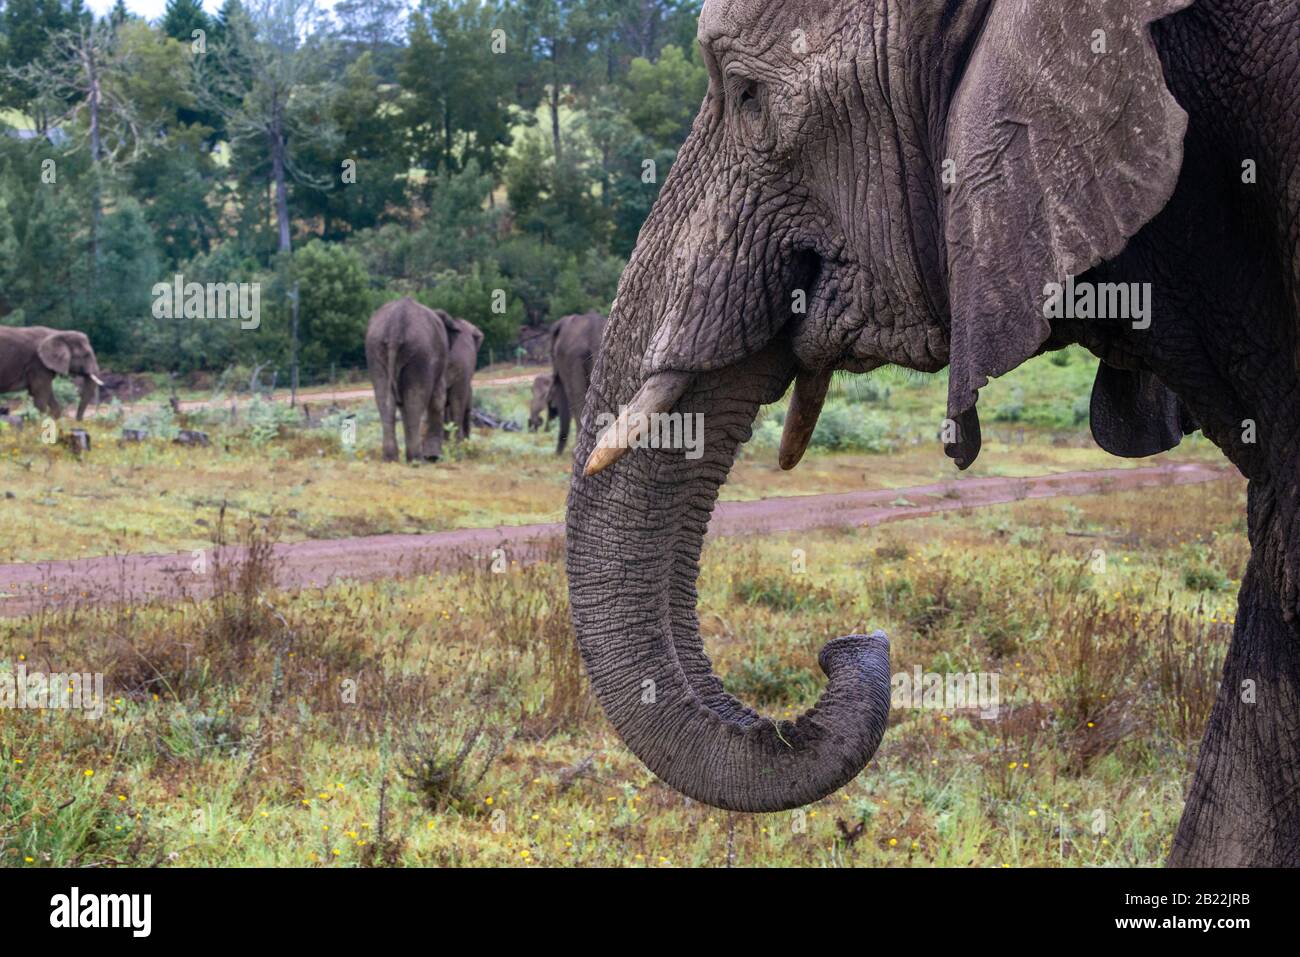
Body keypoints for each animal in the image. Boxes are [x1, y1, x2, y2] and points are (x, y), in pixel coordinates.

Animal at [366, 299, 462, 462]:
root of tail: (396, 324)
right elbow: (438, 399)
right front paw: (434, 457)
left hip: (375, 350)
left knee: (385, 400)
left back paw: (390, 459)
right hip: (420, 355)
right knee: (415, 400)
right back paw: (418, 459)